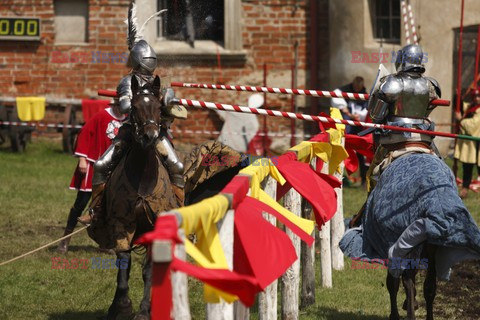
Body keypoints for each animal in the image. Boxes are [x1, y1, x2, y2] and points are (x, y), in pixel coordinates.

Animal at [86, 76, 249, 318]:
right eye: (135, 107)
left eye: (157, 107)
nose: (151, 136)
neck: (143, 177)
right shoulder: (121, 223)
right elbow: (124, 262)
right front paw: (121, 306)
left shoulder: (154, 226)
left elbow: (148, 269)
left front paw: (145, 310)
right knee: (101, 166)